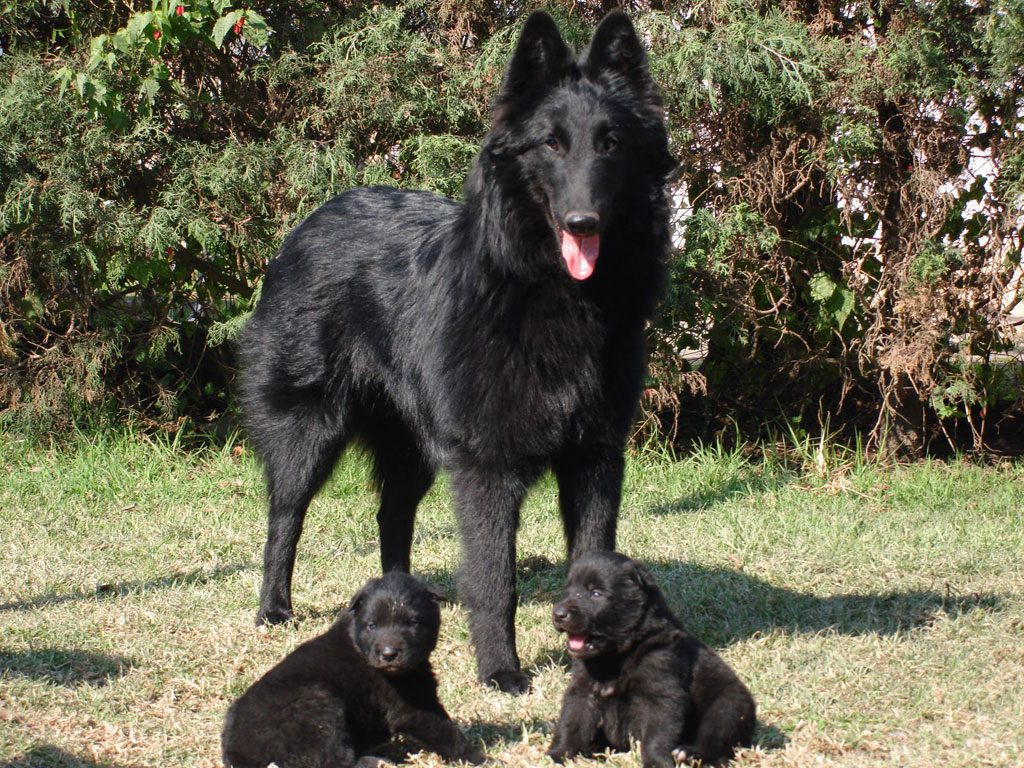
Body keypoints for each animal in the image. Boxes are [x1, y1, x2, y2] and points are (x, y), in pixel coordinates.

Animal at [221, 573, 483, 768]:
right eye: (372, 625)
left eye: (413, 623)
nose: (389, 654)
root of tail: (236, 753)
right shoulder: (410, 707)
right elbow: (443, 730)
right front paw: (478, 757)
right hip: (318, 707)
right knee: (331, 760)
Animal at [235, 10, 675, 696]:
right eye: (551, 145)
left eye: (610, 144)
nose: (584, 223)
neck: (553, 295)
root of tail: (311, 220)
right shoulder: (487, 467)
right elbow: (496, 579)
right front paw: (500, 671)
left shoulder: (596, 455)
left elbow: (593, 558)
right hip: (309, 430)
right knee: (286, 515)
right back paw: (274, 607)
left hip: (412, 445)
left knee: (391, 514)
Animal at [548, 557, 757, 765]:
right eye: (568, 591)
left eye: (596, 593)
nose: (558, 614)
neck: (617, 655)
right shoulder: (583, 690)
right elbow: (572, 723)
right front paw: (557, 754)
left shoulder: (661, 692)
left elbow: (656, 736)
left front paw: (656, 762)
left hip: (728, 707)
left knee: (714, 737)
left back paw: (688, 752)